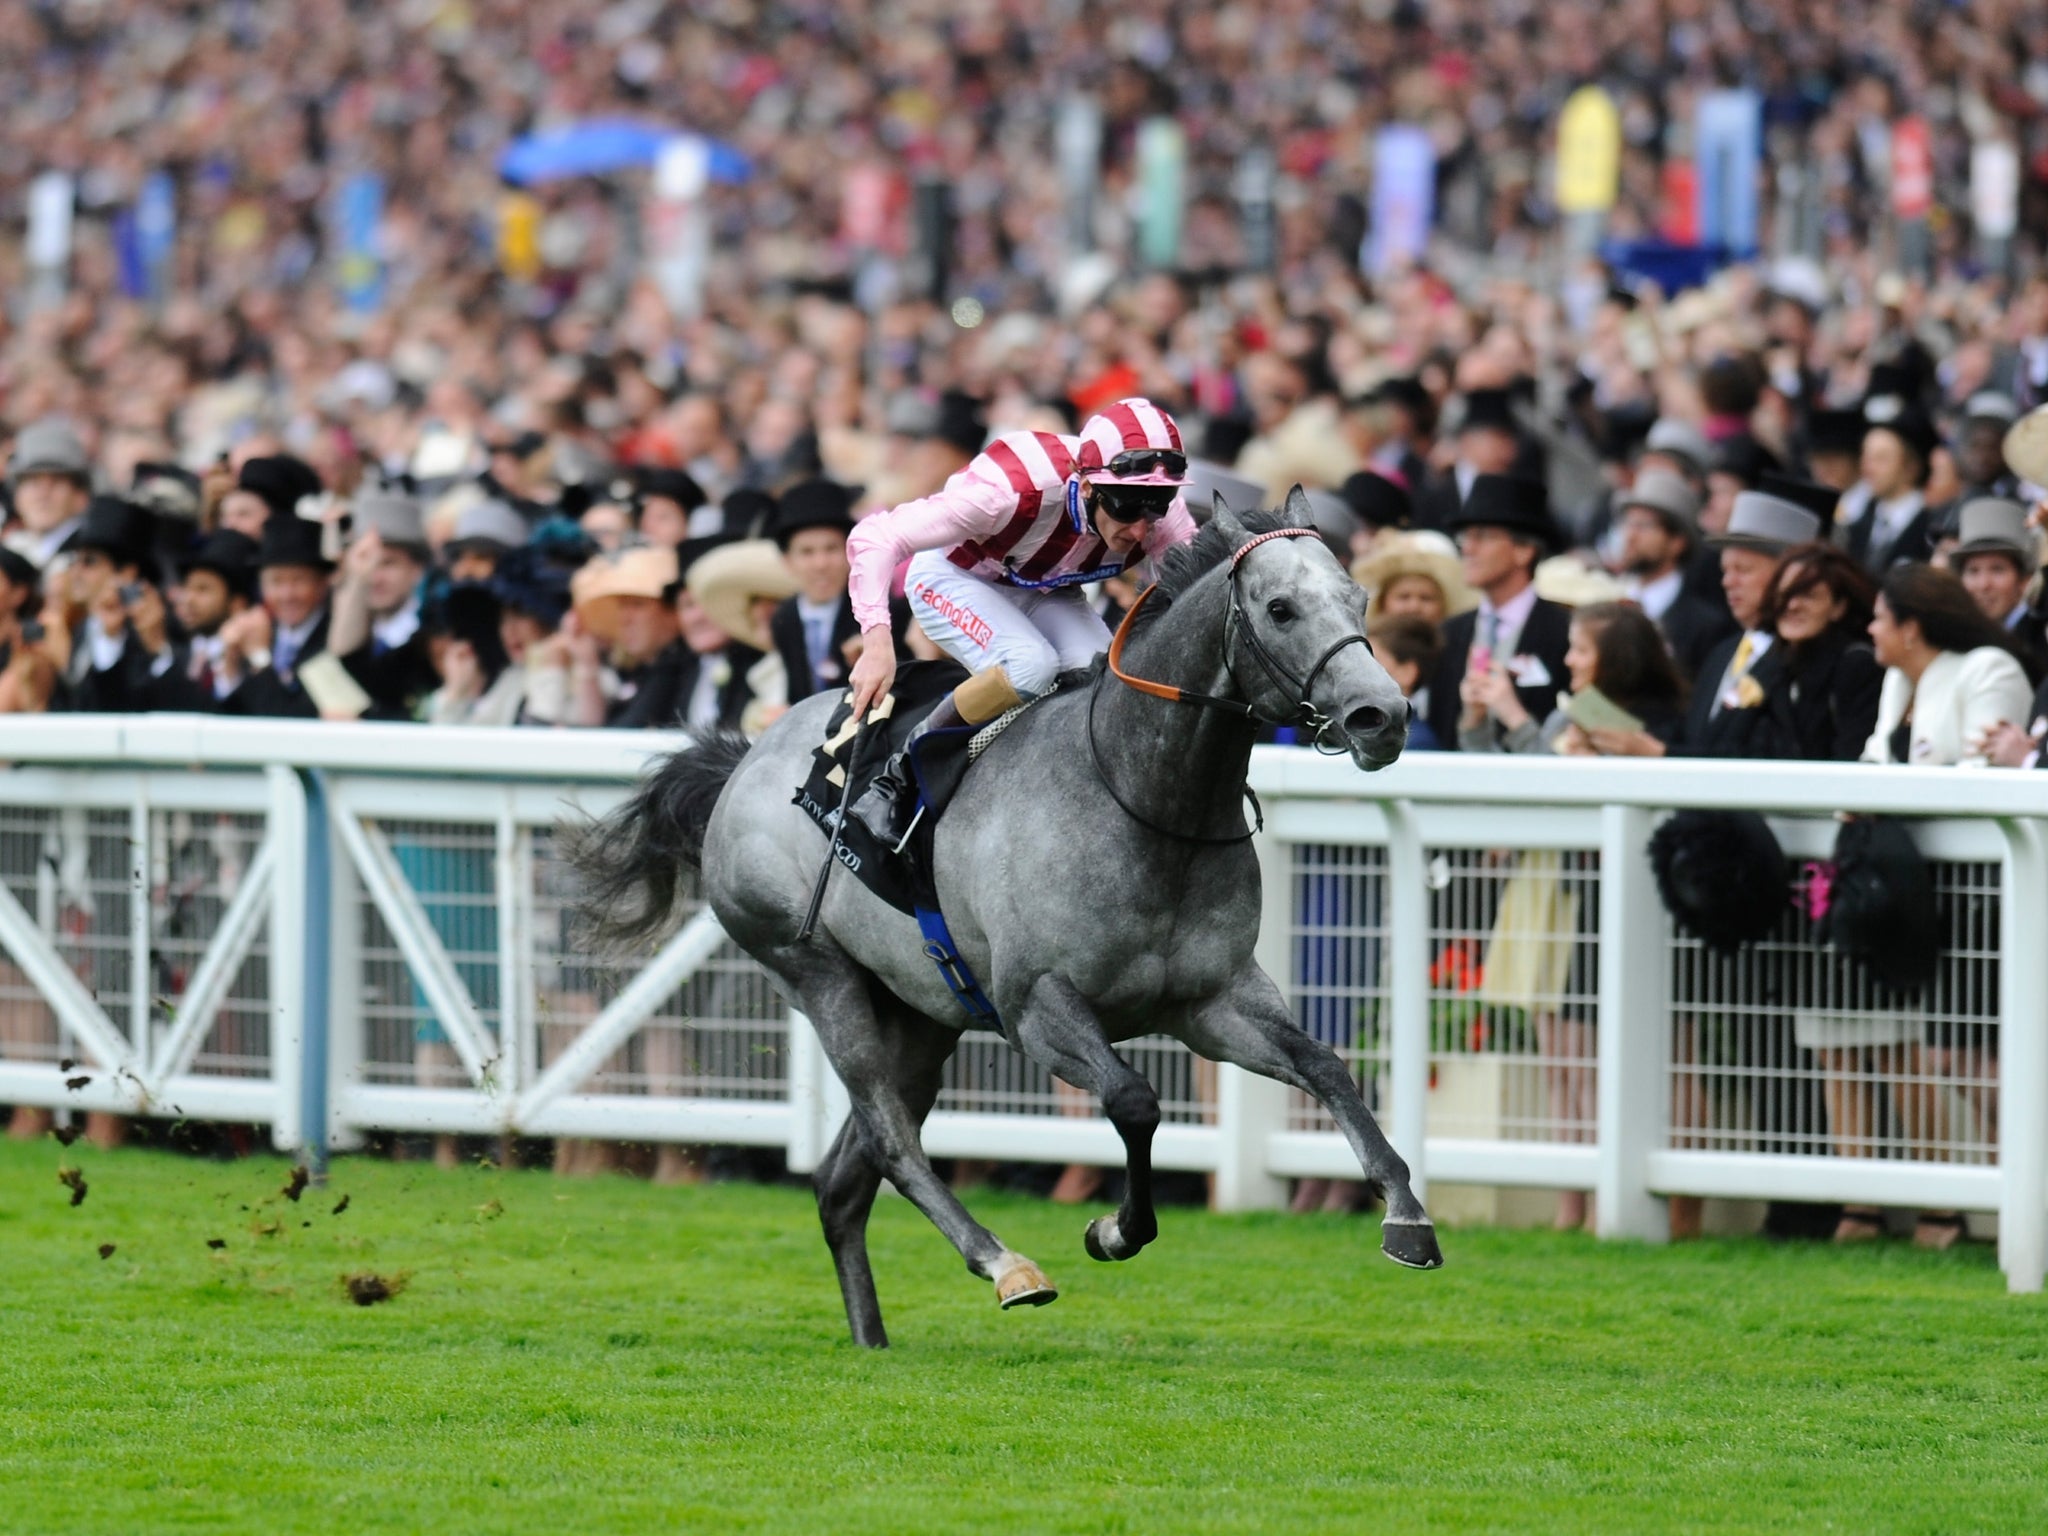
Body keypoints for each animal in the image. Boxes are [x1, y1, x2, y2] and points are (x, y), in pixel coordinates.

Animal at [573, 495, 1441, 1343]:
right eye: (1281, 608)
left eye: (1359, 598)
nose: (1382, 715)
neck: (1144, 798)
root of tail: (747, 757)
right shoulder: (1036, 1007)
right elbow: (1135, 1101)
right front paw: (1112, 1230)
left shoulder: (1213, 1000)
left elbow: (1327, 1068)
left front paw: (1408, 1217)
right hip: (817, 974)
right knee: (891, 1140)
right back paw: (1005, 1265)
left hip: (920, 1016)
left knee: (841, 1181)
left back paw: (872, 1337)